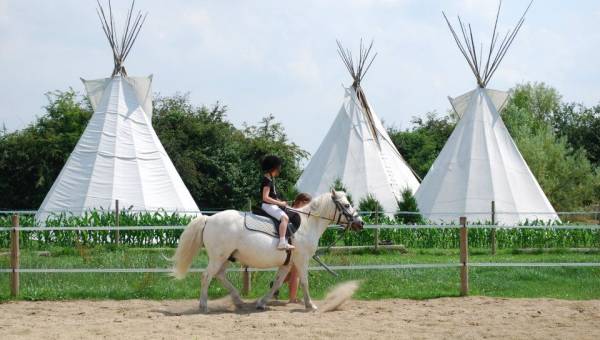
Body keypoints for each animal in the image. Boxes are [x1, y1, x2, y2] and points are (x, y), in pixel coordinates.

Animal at [171, 190, 364, 312]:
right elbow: (304, 282)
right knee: (206, 276)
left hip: (226, 258)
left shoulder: (288, 264)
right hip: (219, 257)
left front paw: (262, 303)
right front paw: (310, 305)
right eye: (347, 205)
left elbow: (277, 282)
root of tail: (209, 219)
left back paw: (238, 300)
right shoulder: (301, 260)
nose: (360, 223)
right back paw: (203, 306)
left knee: (219, 275)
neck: (308, 224)